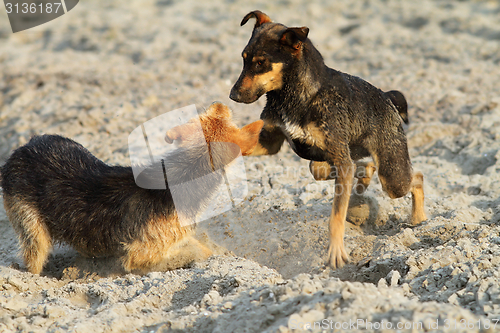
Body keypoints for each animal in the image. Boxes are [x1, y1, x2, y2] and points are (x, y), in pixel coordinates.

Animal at [0, 102, 264, 274]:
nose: (221, 103)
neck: (187, 170)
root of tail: (25, 146)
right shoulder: (140, 254)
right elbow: (190, 253)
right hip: (31, 228)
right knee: (34, 257)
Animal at [230, 10, 426, 268]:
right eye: (244, 58)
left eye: (261, 62)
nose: (232, 95)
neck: (300, 95)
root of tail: (387, 97)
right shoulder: (270, 141)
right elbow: (240, 144)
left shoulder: (340, 159)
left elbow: (336, 216)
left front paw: (336, 252)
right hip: (341, 160)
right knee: (355, 167)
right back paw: (363, 181)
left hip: (392, 176)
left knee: (416, 177)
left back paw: (419, 219)